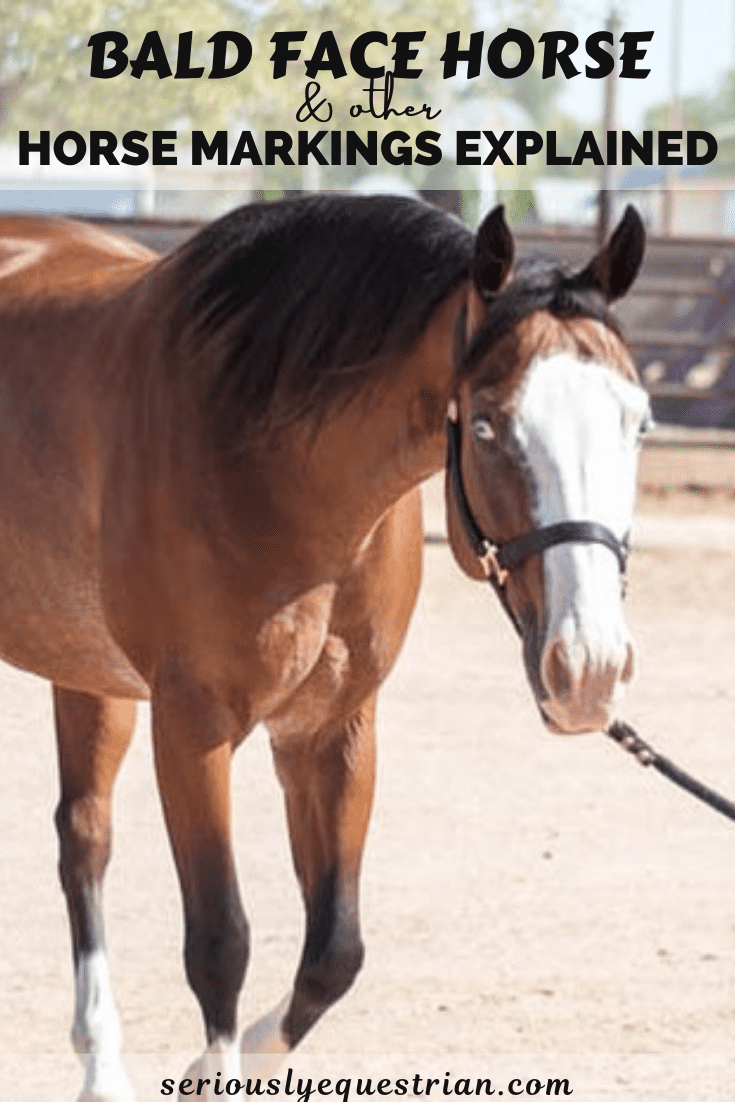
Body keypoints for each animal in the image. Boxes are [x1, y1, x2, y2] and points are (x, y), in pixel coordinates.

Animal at [0, 194, 648, 1101]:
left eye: (637, 422)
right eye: (487, 426)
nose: (588, 669)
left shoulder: (334, 730)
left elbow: (334, 952)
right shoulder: (191, 728)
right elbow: (220, 942)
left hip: (90, 670)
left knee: (84, 834)